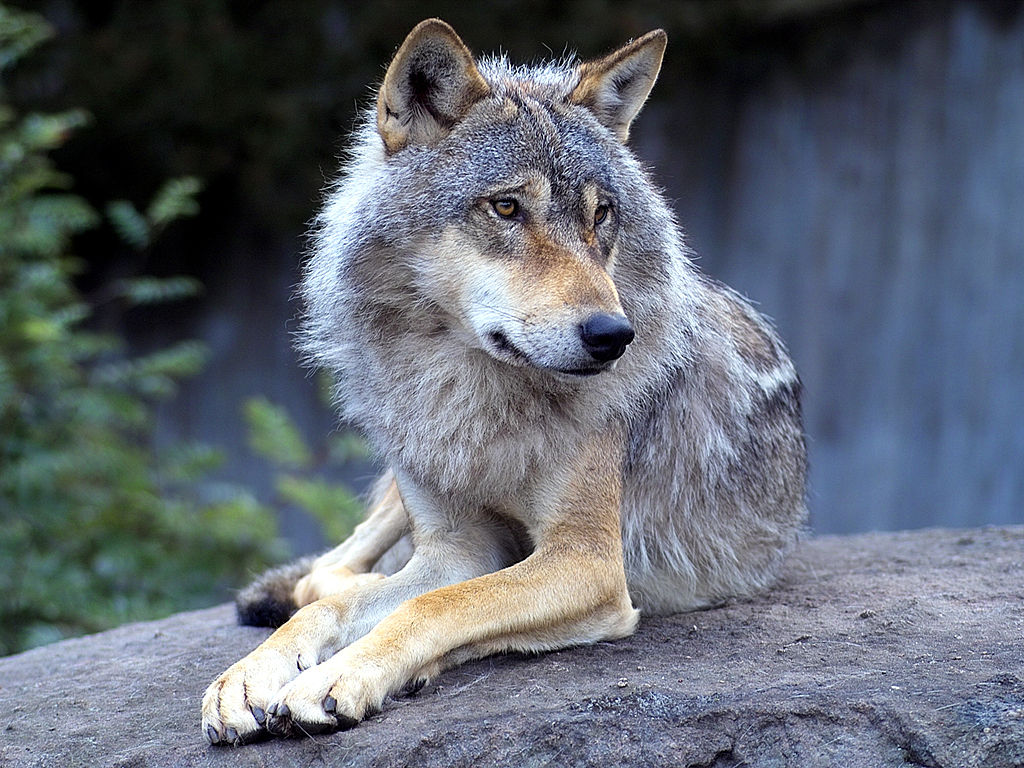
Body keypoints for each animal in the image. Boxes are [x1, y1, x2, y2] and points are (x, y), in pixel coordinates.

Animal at [202, 19, 806, 745]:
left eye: (601, 215)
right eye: (508, 207)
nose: (613, 335)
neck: (475, 396)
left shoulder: (587, 564)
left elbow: (436, 607)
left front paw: (336, 678)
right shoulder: (456, 548)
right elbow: (352, 605)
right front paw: (250, 676)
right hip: (400, 485)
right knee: (325, 574)